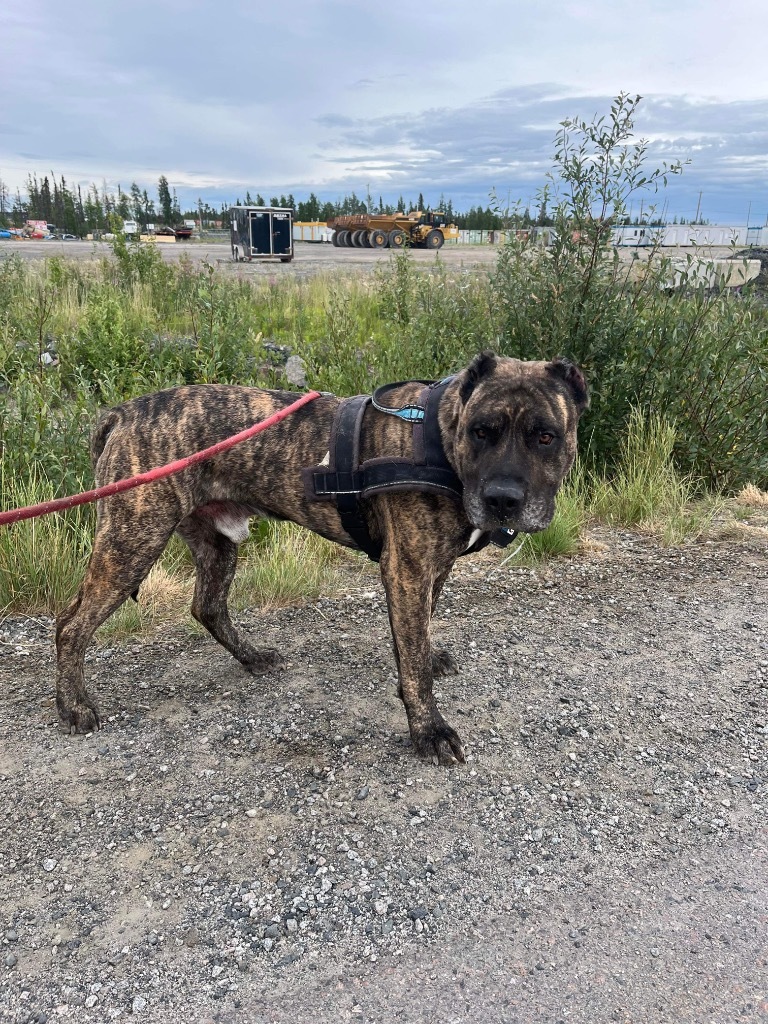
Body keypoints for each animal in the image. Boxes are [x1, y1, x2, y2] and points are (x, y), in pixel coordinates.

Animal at [55, 352, 589, 761]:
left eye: (546, 436)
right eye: (481, 431)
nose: (503, 499)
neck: (440, 436)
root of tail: (122, 412)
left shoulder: (433, 567)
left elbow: (420, 630)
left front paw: (425, 657)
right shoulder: (409, 567)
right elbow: (413, 658)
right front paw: (429, 729)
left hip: (214, 541)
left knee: (207, 606)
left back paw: (252, 657)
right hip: (133, 540)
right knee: (69, 625)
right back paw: (73, 706)